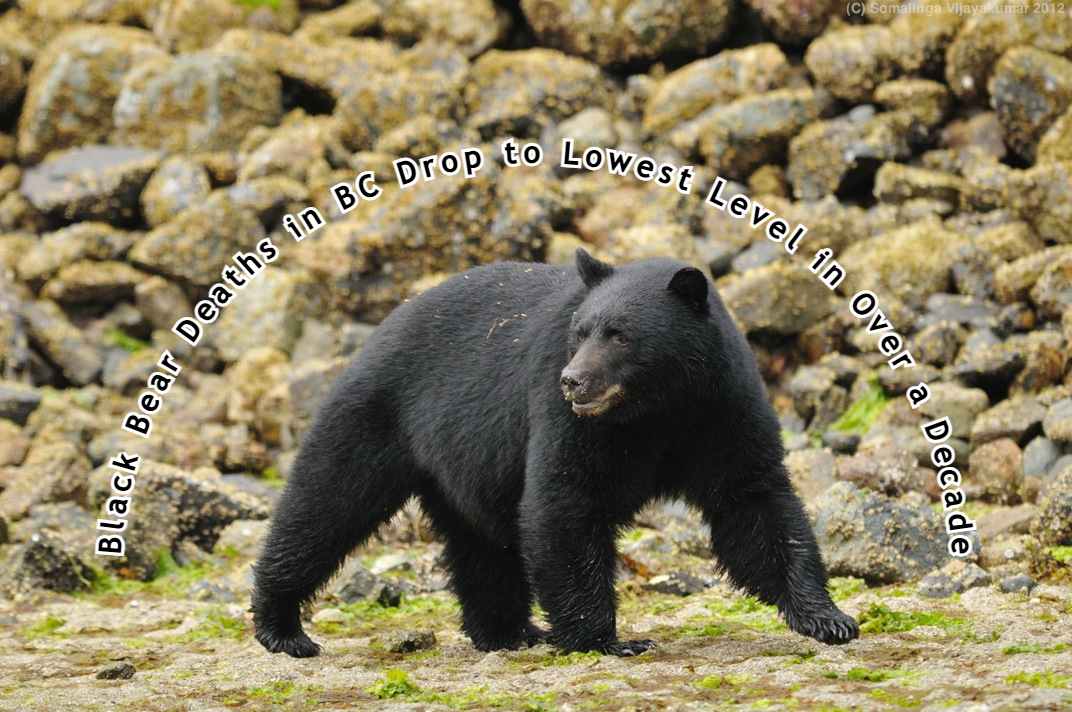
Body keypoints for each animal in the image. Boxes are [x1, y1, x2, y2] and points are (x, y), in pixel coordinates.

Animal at [251, 248, 860, 658]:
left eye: (619, 334)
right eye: (580, 330)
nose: (574, 381)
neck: (658, 407)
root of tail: (379, 327)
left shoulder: (721, 408)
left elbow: (753, 501)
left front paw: (828, 618)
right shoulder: (567, 419)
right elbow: (565, 501)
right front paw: (606, 640)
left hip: (462, 465)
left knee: (482, 548)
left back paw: (510, 633)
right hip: (376, 416)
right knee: (324, 506)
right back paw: (282, 627)